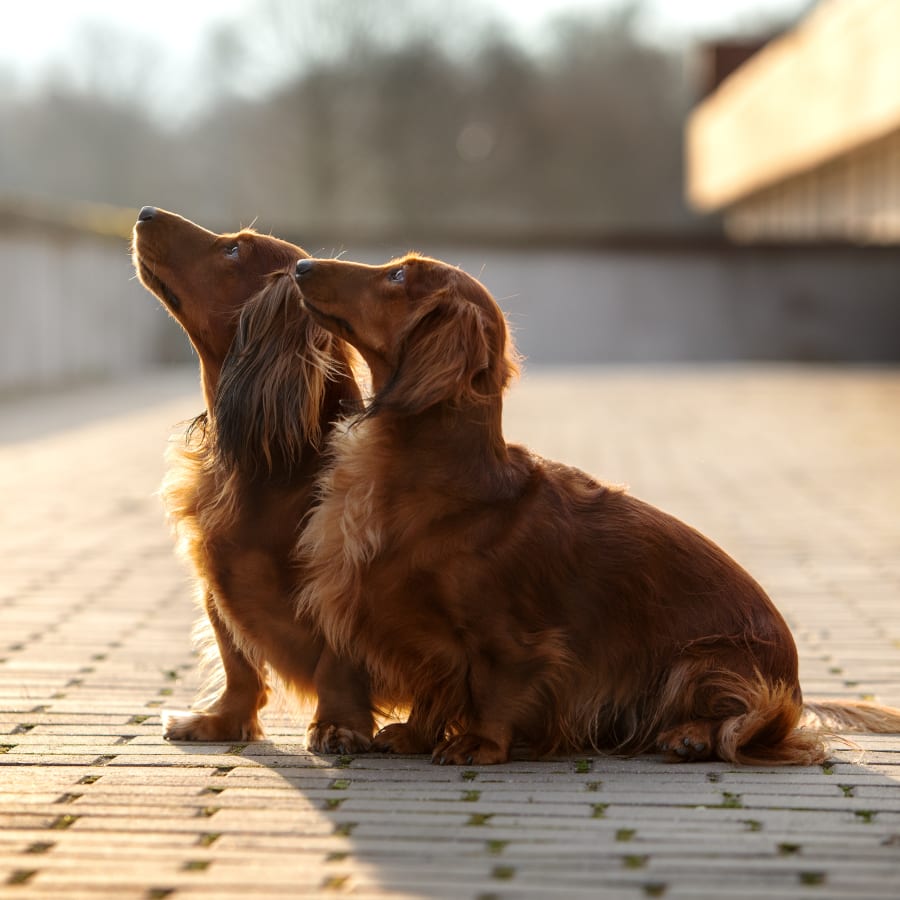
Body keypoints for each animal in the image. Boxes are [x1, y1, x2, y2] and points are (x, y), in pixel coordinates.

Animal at [131, 207, 372, 748]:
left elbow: (338, 662)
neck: (273, 468)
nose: (144, 213)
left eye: (233, 250)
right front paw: (219, 719)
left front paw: (338, 723)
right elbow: (236, 658)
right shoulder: (214, 575)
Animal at [294, 251, 900, 768]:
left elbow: (492, 685)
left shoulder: (509, 640)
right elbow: (435, 683)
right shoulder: (409, 628)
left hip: (701, 661)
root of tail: (793, 683)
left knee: (749, 722)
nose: (300, 265)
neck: (435, 480)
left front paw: (477, 743)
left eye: (398, 276)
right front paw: (416, 734)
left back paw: (689, 736)